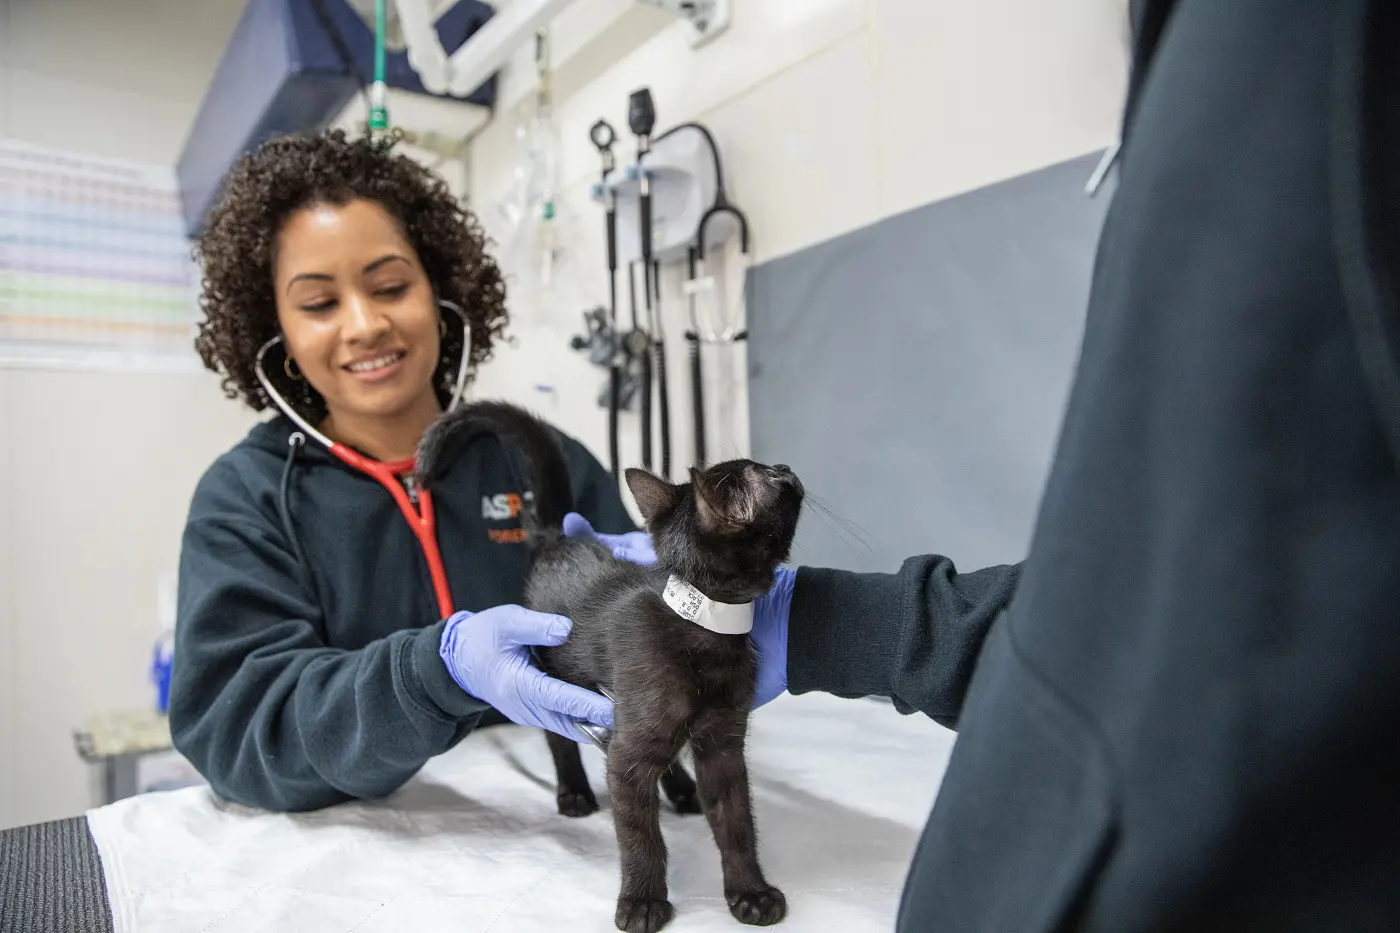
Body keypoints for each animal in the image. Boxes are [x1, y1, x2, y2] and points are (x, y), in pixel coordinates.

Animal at [414, 400, 806, 930]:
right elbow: (640, 835)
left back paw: (681, 791)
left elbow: (736, 822)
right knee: (560, 741)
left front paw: (750, 893)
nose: (785, 467)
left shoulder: (722, 744)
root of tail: (557, 538)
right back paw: (575, 793)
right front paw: (642, 901)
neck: (700, 620)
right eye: (769, 477)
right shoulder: (626, 758)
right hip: (554, 673)